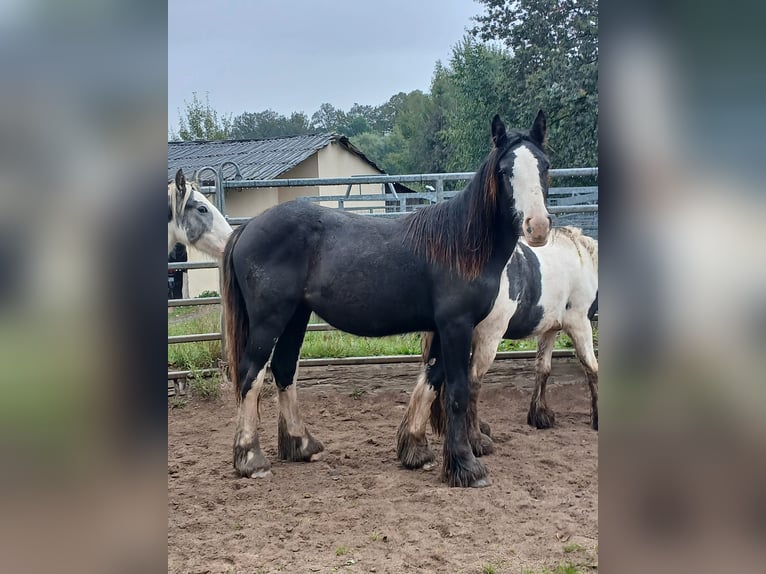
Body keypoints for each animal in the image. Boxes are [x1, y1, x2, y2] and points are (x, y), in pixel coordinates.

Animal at [222, 113, 552, 490]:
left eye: (544, 165)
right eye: (505, 170)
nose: (538, 226)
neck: (461, 246)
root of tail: (247, 227)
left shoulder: (443, 328)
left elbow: (431, 380)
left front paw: (415, 450)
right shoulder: (457, 325)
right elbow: (456, 391)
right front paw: (466, 466)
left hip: (296, 316)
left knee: (284, 369)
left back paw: (302, 444)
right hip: (270, 320)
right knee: (251, 375)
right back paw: (251, 459)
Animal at [400, 226, 604, 472]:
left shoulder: (549, 329)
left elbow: (543, 368)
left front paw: (540, 415)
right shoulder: (579, 322)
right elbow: (592, 368)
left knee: (429, 382)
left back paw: (416, 449)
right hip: (487, 337)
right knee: (472, 383)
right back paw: (476, 441)